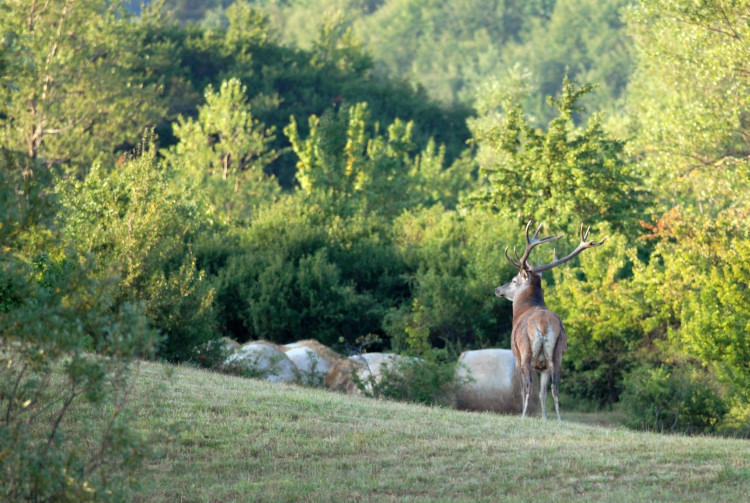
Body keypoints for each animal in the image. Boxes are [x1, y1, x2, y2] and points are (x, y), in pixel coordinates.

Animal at [496, 221, 608, 422]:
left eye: (514, 280)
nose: (498, 289)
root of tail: (543, 324)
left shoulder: (516, 355)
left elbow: (526, 389)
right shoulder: (543, 367)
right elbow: (542, 393)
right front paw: (544, 418)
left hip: (526, 351)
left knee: (527, 387)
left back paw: (523, 416)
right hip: (557, 354)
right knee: (555, 388)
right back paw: (559, 419)